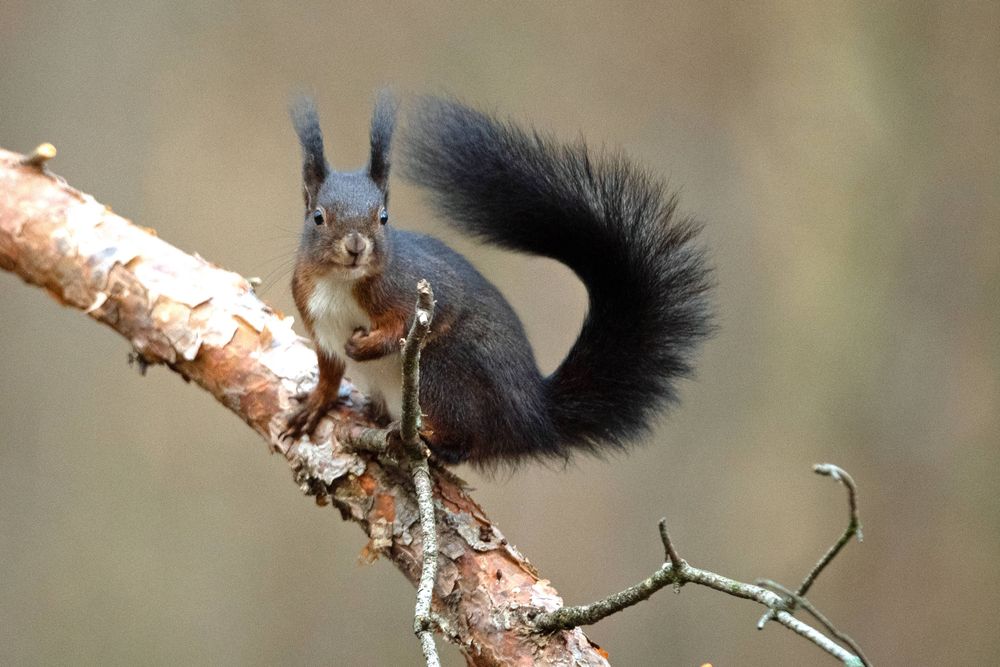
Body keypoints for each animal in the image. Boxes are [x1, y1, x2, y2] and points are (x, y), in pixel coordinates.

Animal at [282, 92, 713, 467]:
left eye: (383, 217)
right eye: (318, 217)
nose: (356, 246)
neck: (340, 283)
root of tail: (533, 418)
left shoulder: (417, 287)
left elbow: (412, 322)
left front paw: (366, 346)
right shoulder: (316, 322)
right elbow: (328, 369)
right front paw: (316, 403)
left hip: (441, 371)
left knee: (465, 444)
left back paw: (425, 438)